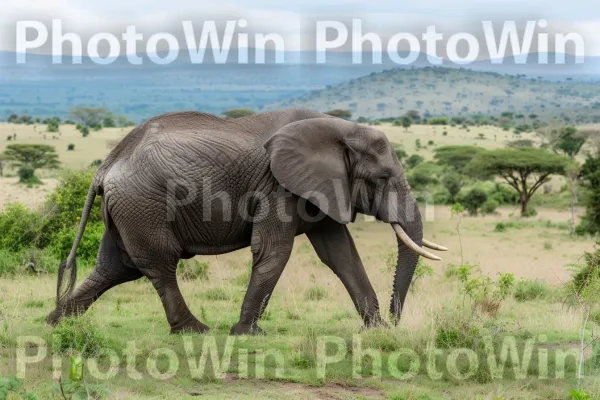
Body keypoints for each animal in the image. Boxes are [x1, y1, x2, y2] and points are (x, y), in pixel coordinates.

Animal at [45, 108, 446, 334]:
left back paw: (55, 322)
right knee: (158, 264)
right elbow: (274, 251)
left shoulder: (323, 187)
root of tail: (105, 166)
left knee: (115, 266)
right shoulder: (279, 185)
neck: (341, 129)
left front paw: (376, 330)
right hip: (143, 203)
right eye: (381, 178)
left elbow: (341, 254)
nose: (397, 320)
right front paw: (246, 333)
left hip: (127, 207)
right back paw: (196, 331)